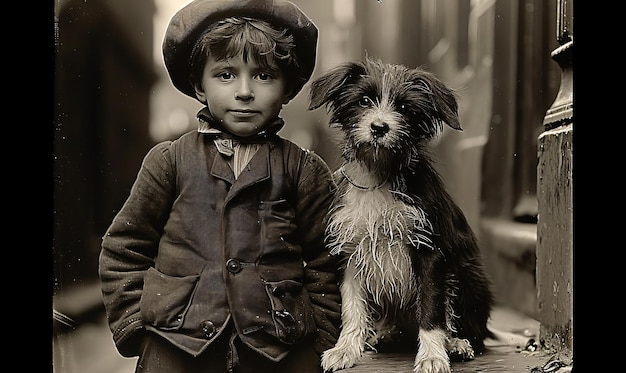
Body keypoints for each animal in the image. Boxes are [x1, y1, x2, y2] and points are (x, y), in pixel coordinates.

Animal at [308, 56, 492, 372]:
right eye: (364, 100)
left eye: (405, 108)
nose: (379, 128)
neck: (378, 175)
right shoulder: (349, 251)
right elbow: (351, 308)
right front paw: (345, 349)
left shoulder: (430, 250)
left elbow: (431, 311)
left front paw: (432, 355)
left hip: (468, 275)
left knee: (473, 329)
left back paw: (456, 343)